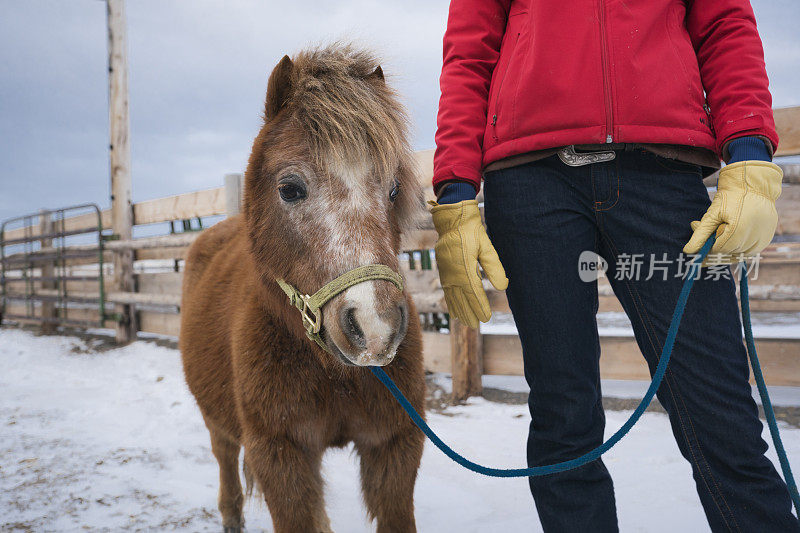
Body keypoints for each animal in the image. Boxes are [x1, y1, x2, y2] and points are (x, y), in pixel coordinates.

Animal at [180, 46, 428, 532]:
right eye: (290, 189)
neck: (331, 373)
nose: (375, 328)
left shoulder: (394, 445)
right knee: (225, 460)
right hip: (217, 420)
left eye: (393, 190)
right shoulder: (279, 455)